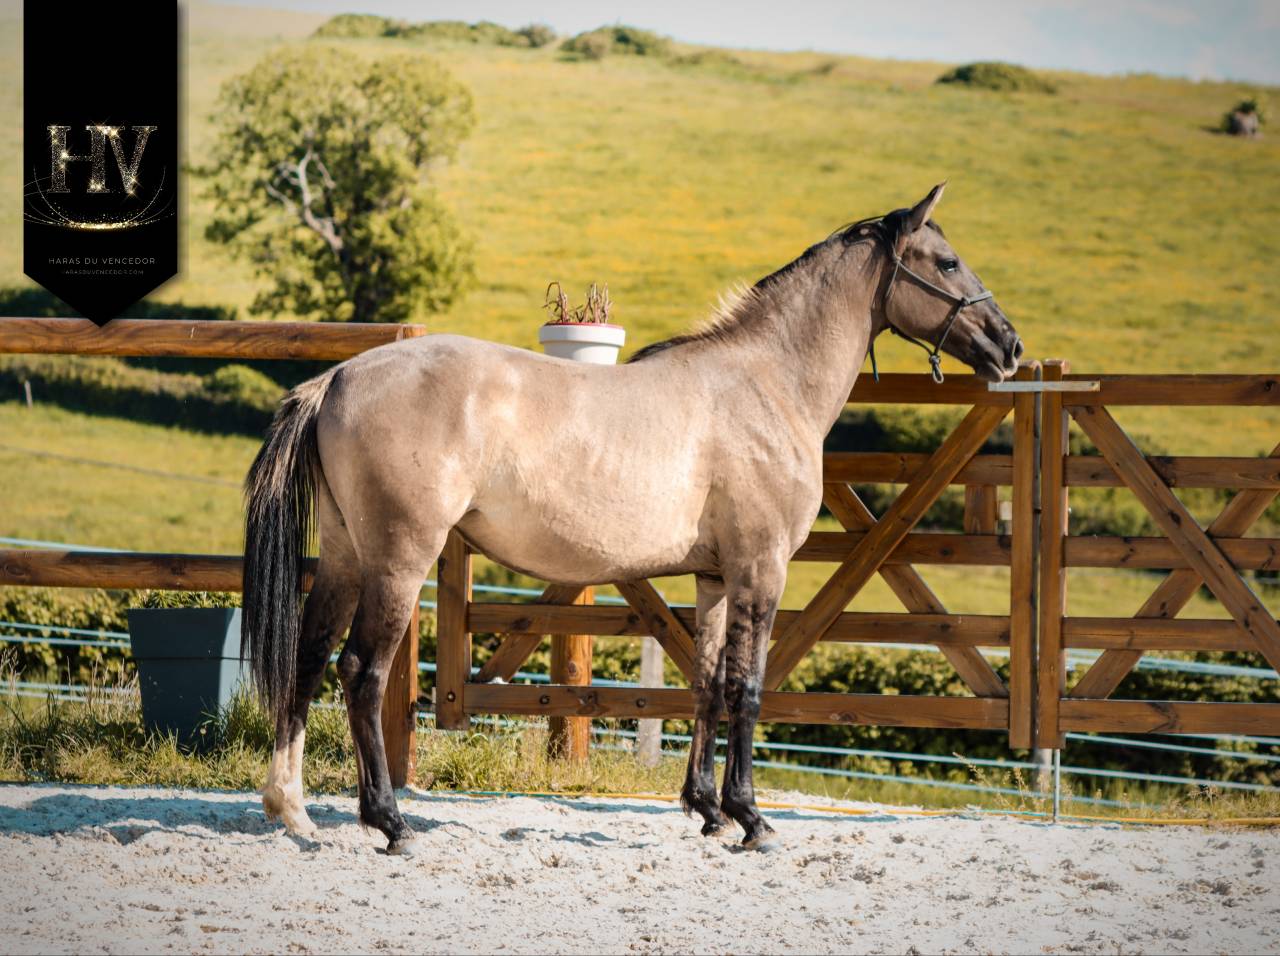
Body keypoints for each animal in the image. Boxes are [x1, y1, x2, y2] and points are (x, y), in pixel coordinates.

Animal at [243, 183, 1022, 854]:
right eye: (947, 262)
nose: (1009, 345)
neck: (767, 385)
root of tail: (339, 377)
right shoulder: (761, 567)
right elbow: (748, 688)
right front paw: (752, 819)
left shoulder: (715, 579)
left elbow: (707, 686)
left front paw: (707, 810)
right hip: (400, 560)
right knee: (361, 672)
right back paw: (391, 822)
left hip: (346, 555)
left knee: (309, 659)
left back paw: (292, 811)